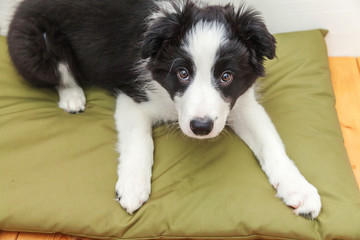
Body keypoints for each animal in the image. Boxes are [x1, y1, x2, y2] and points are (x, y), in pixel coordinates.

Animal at [5, 0, 320, 218]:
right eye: (182, 73)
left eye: (226, 76)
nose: (201, 128)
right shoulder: (132, 96)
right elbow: (139, 141)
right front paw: (132, 187)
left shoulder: (241, 103)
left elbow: (271, 143)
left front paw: (299, 188)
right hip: (37, 41)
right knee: (60, 72)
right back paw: (72, 97)